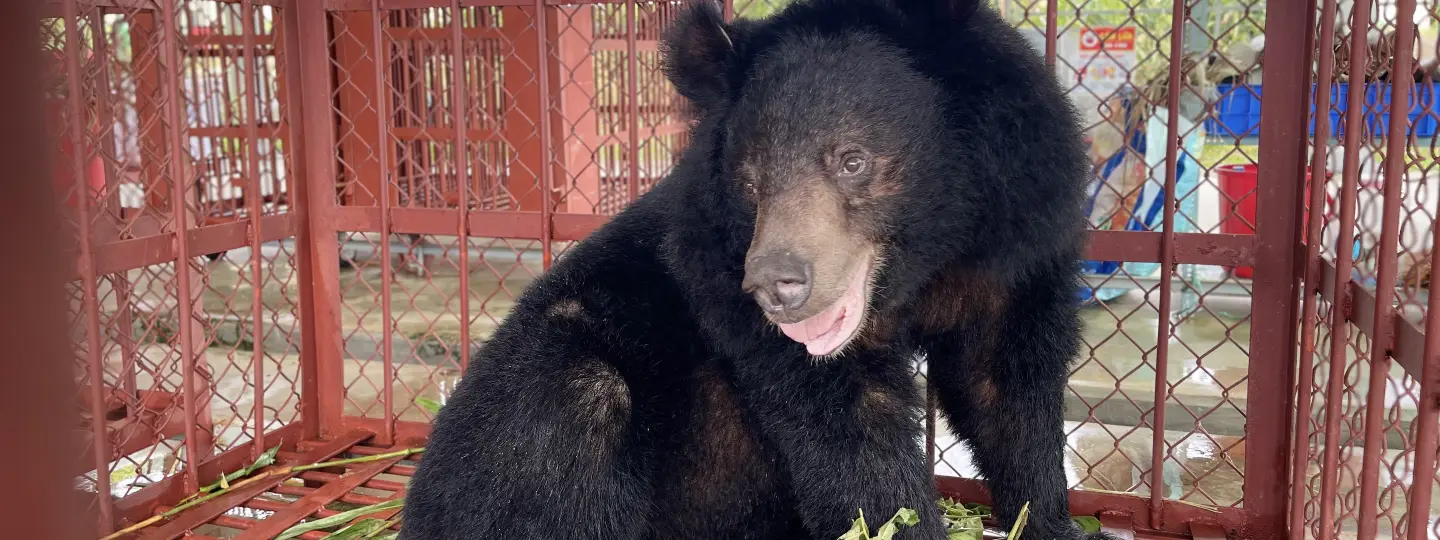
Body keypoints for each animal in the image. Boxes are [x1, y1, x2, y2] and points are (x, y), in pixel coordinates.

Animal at [398, 0, 1097, 538]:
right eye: (751, 181)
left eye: (852, 160)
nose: (775, 286)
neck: (928, 252)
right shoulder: (718, 269)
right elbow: (848, 434)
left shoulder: (1020, 238)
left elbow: (1006, 384)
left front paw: (1050, 519)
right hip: (527, 417)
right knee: (567, 422)